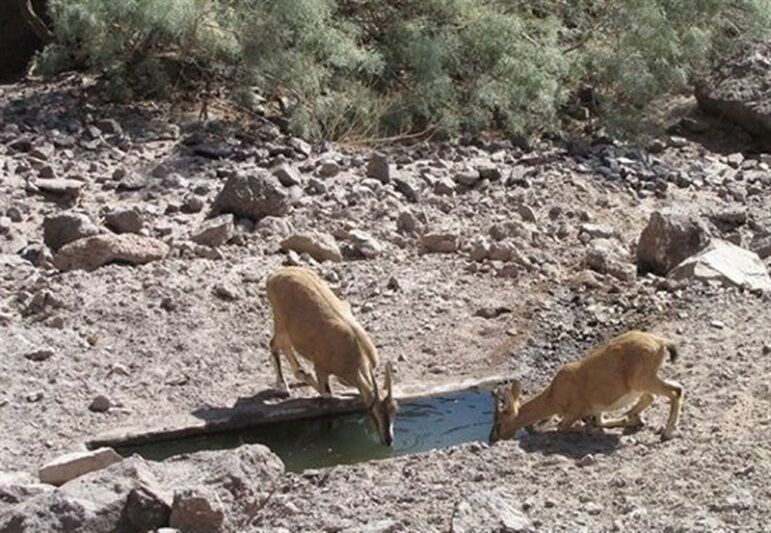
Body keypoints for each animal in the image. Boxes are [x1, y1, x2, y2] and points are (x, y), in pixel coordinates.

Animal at [266, 266, 398, 444]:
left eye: (394, 410)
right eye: (373, 411)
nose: (388, 440)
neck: (354, 350)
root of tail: (274, 276)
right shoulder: (321, 367)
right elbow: (328, 394)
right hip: (281, 324)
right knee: (275, 345)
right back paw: (283, 385)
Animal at [492, 330, 684, 442]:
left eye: (500, 423)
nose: (494, 437)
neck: (554, 396)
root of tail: (659, 342)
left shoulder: (575, 410)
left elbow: (562, 427)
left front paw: (588, 430)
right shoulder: (596, 409)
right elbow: (600, 421)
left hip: (643, 380)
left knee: (674, 392)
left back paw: (666, 432)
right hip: (645, 380)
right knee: (664, 391)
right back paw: (633, 417)